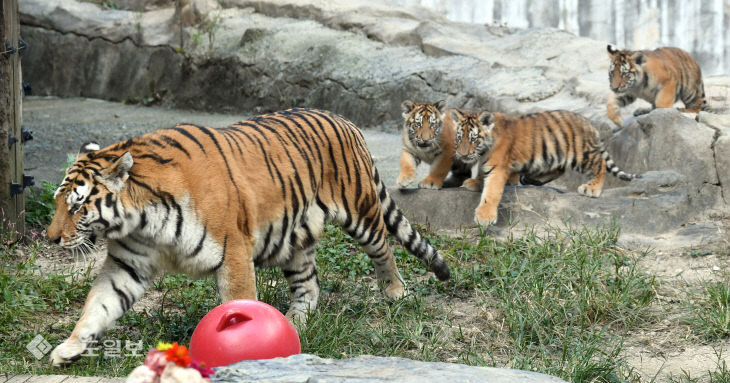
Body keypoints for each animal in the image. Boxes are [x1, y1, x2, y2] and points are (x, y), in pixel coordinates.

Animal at [45, 108, 450, 366]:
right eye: (58, 202)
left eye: (77, 206)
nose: (51, 239)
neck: (142, 220)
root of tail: (345, 120)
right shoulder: (127, 263)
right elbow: (98, 305)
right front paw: (69, 348)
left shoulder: (232, 250)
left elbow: (238, 303)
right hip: (296, 236)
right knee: (309, 283)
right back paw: (295, 322)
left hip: (361, 210)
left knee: (384, 249)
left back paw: (395, 291)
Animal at [458, 109, 640, 226]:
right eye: (459, 138)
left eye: (474, 139)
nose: (461, 154)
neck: (483, 151)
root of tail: (588, 122)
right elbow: (482, 175)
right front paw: (475, 182)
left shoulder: (498, 167)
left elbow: (491, 192)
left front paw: (484, 217)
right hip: (552, 154)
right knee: (560, 169)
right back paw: (532, 179)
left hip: (580, 154)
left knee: (600, 163)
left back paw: (592, 189)